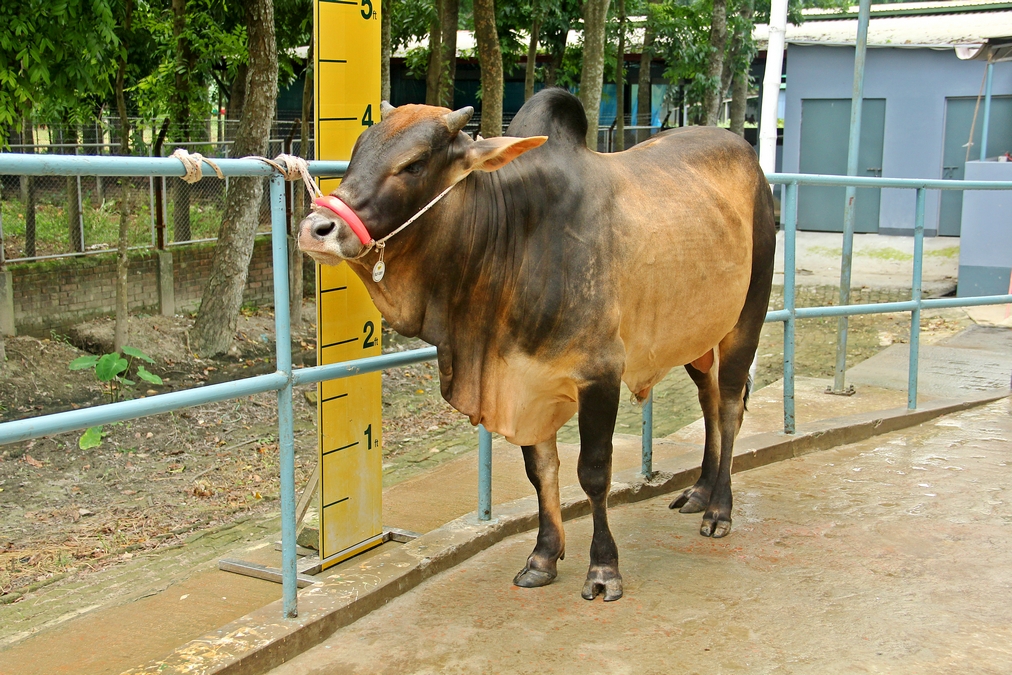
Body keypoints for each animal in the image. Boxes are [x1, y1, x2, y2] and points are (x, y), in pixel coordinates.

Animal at [299, 88, 776, 602]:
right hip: (698, 338)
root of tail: (745, 152)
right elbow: (541, 470)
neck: (512, 238)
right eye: (357, 151)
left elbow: (593, 472)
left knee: (729, 406)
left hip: (747, 318)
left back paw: (719, 510)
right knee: (709, 400)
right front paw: (544, 557)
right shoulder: (524, 383)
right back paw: (700, 491)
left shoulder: (600, 375)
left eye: (414, 164)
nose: (316, 228)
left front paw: (603, 569)